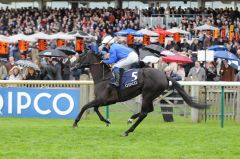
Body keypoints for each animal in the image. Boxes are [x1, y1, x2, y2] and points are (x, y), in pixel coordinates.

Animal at [72, 52, 207, 137]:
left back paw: (127, 131)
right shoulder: (104, 100)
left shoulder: (103, 99)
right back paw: (131, 118)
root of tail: (164, 75)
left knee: (144, 113)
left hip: (147, 94)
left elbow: (85, 106)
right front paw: (106, 121)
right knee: (147, 110)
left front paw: (75, 123)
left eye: (82, 55)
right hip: (150, 95)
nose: (73, 67)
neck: (103, 78)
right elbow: (94, 109)